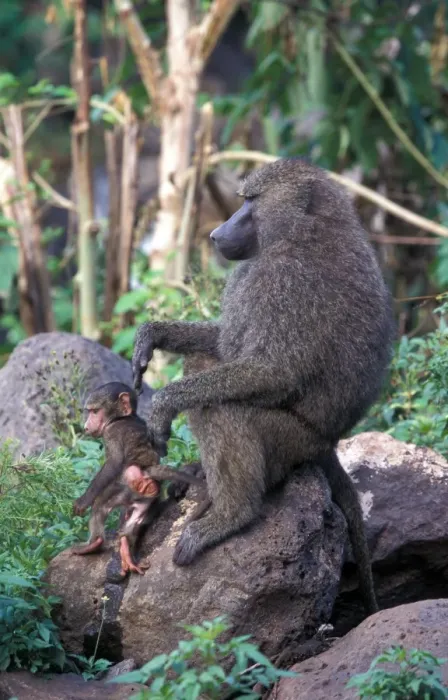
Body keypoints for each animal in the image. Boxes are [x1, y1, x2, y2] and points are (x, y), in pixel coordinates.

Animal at [71, 381, 207, 575]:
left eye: (95, 411)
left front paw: (83, 501)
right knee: (136, 518)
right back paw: (126, 548)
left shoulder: (112, 432)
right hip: (145, 497)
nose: (86, 426)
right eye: (89, 411)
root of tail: (150, 471)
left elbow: (114, 463)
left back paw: (94, 544)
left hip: (127, 490)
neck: (123, 418)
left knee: (100, 505)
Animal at [131, 158, 395, 614]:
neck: (310, 228)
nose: (217, 233)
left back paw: (231, 515)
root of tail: (327, 443)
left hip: (292, 440)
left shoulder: (281, 278)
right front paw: (153, 334)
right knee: (206, 365)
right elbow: (224, 345)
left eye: (251, 201)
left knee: (218, 404)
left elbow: (274, 372)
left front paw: (163, 403)